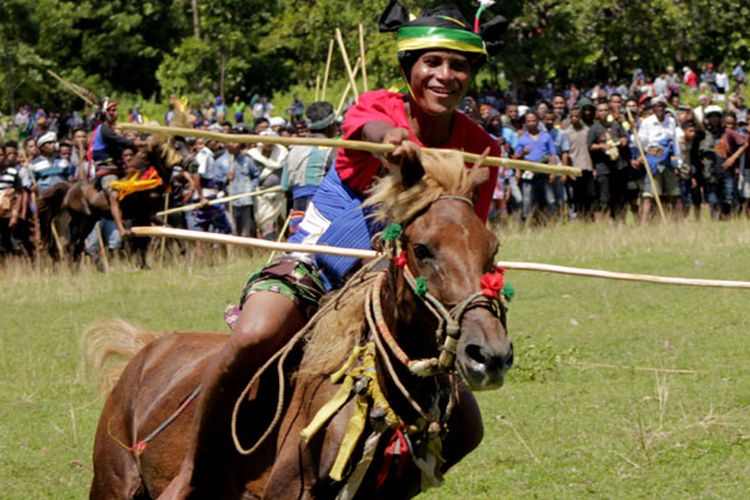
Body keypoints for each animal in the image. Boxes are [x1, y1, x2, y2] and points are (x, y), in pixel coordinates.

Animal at [86, 150, 512, 498]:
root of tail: (147, 349)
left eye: (492, 249)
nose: (489, 354)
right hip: (112, 484)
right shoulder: (290, 489)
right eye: (422, 249)